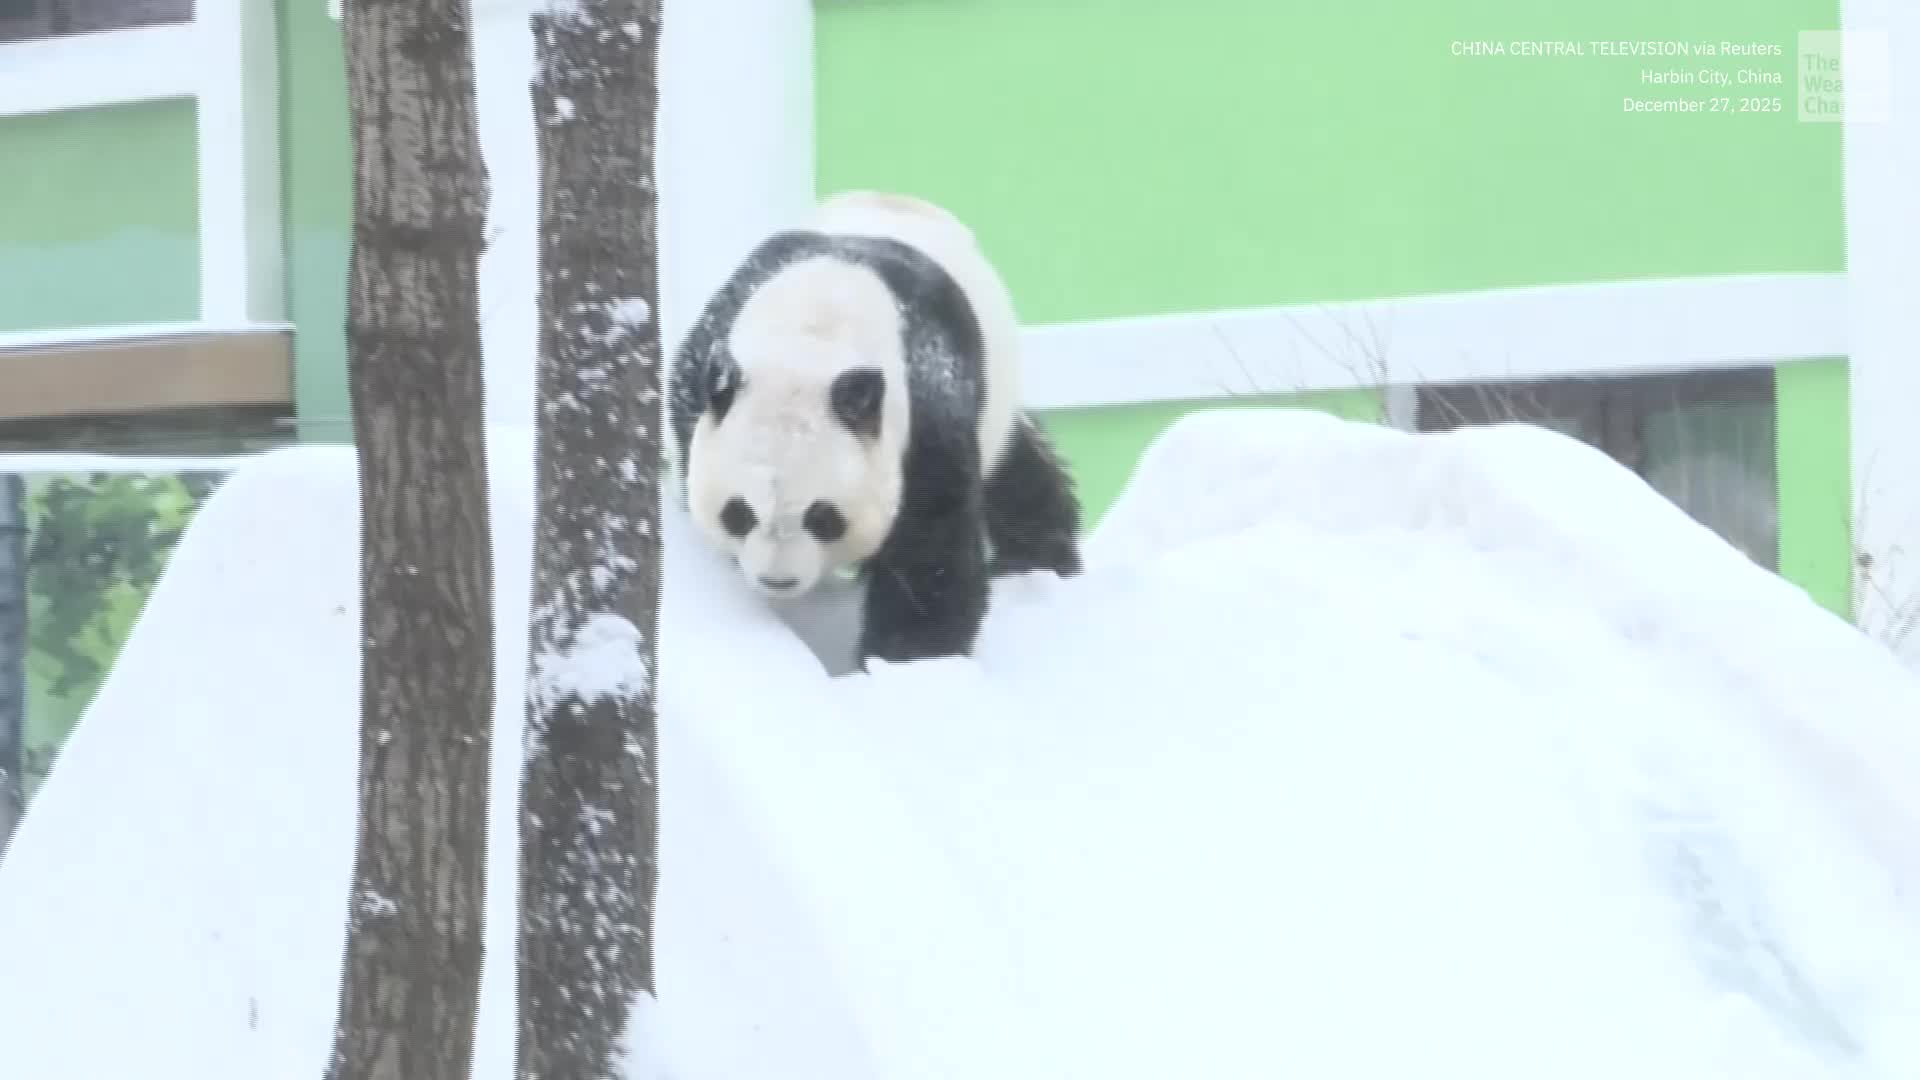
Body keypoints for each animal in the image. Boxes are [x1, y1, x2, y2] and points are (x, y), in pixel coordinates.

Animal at [668, 190, 1083, 668]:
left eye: (823, 516)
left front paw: (910, 657)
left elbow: (928, 552)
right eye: (738, 512)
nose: (778, 581)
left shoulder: (925, 411)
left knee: (1014, 473)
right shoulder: (700, 374)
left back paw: (1037, 559)